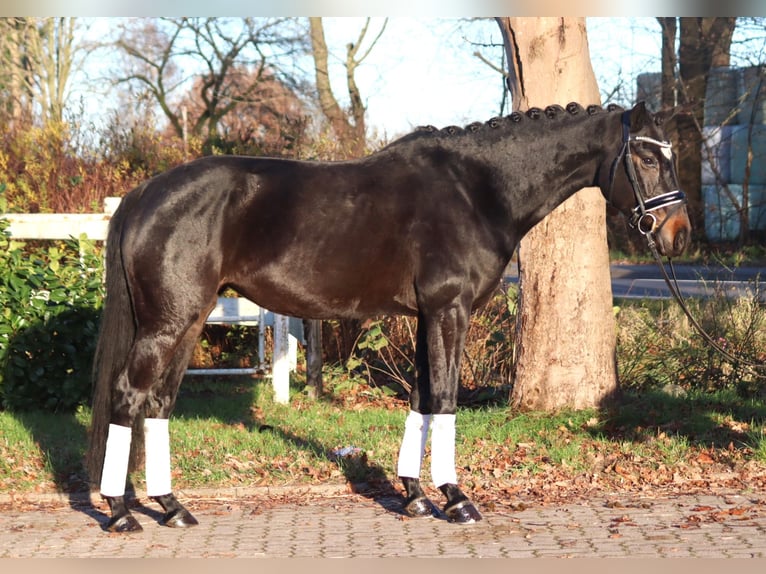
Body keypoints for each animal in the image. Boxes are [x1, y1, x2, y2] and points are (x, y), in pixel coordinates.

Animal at [87, 101, 692, 532]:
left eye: (670, 156)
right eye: (646, 158)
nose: (677, 234)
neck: (477, 190)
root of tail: (144, 193)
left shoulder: (427, 316)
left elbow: (421, 399)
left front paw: (417, 496)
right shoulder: (450, 311)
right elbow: (444, 400)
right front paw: (457, 499)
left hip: (188, 321)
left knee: (158, 404)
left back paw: (170, 507)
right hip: (167, 324)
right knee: (128, 396)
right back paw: (120, 512)